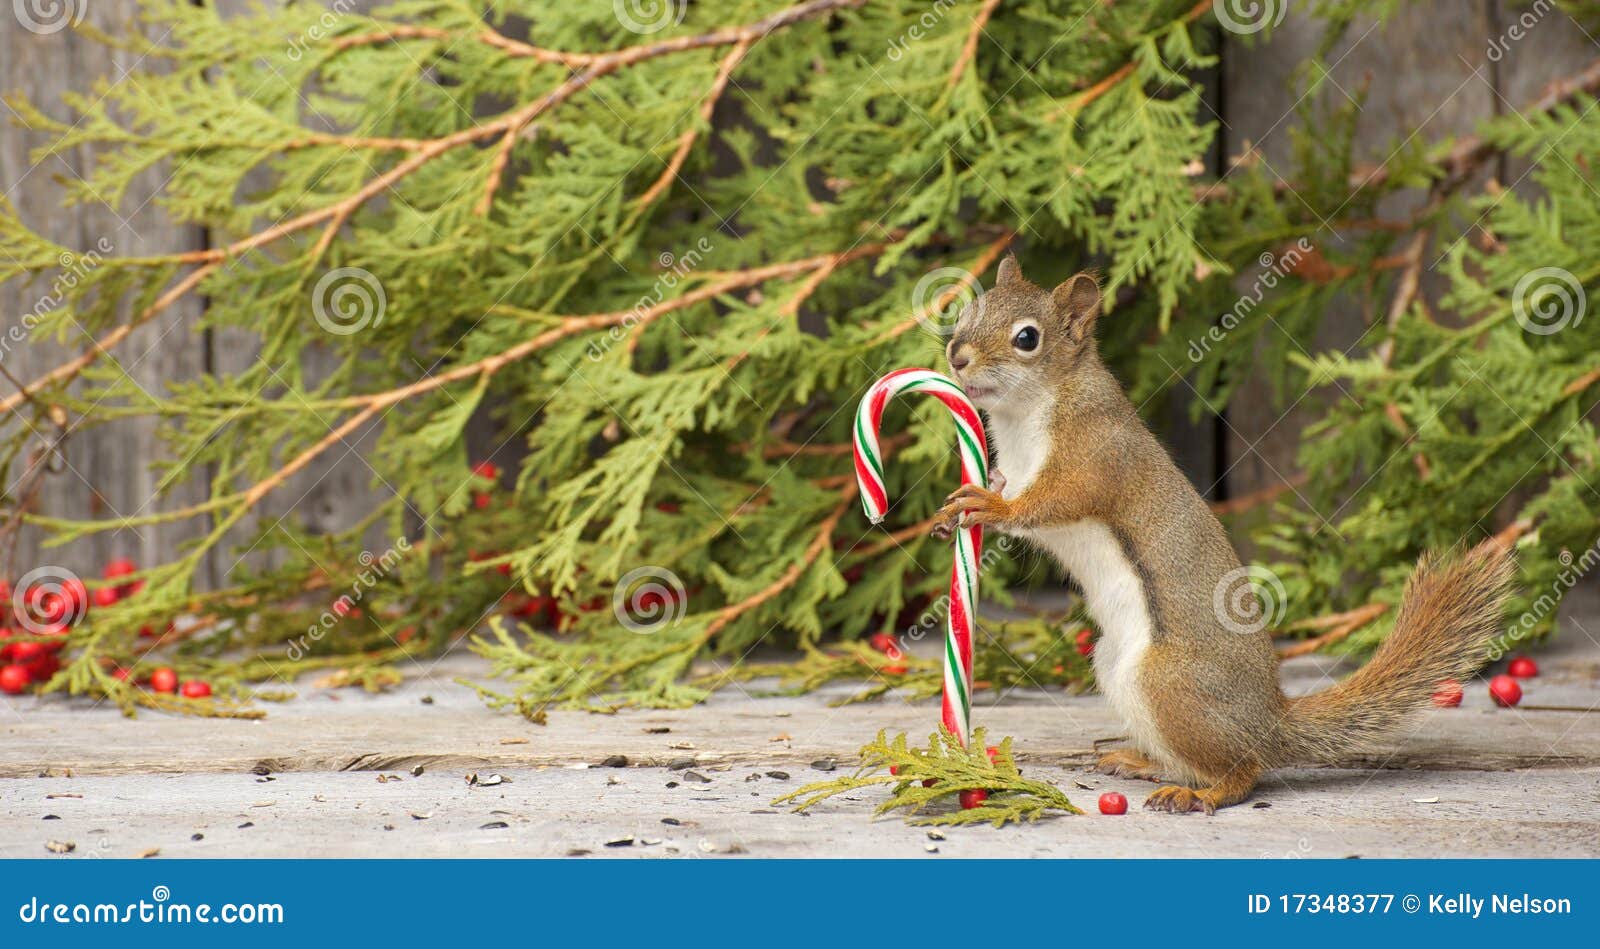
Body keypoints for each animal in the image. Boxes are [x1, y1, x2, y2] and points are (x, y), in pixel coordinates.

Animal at [931, 256, 1516, 813]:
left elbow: (1049, 503)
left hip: (1168, 685)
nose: (956, 356)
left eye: (1027, 338)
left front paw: (991, 505)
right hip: (1117, 670)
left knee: (1243, 771)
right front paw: (947, 512)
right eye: (968, 310)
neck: (1027, 413)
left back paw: (1202, 794)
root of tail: (1270, 724)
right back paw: (1142, 762)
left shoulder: (1093, 458)